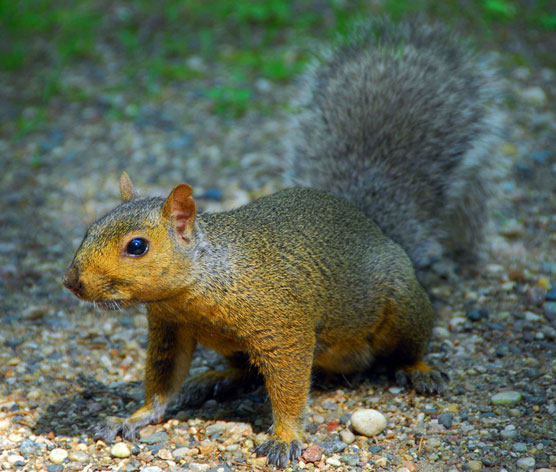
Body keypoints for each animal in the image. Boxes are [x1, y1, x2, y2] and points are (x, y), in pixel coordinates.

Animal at [63, 19, 502, 468]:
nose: (72, 282)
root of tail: (378, 229)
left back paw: (419, 370)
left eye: (137, 246)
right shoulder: (170, 326)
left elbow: (289, 383)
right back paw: (216, 378)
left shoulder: (282, 323)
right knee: (243, 371)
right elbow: (163, 379)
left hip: (402, 306)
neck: (202, 282)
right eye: (89, 229)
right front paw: (134, 416)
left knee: (408, 346)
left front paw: (285, 437)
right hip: (234, 347)